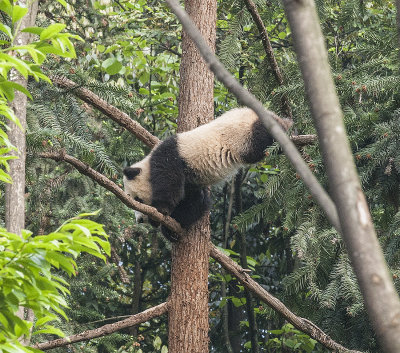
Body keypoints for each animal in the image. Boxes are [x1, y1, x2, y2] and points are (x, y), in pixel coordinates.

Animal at [122, 107, 290, 239]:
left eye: (137, 199)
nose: (139, 220)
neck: (148, 164)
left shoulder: (170, 157)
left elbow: (169, 184)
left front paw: (160, 212)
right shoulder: (191, 181)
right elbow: (196, 201)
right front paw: (172, 229)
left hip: (246, 134)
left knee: (260, 142)